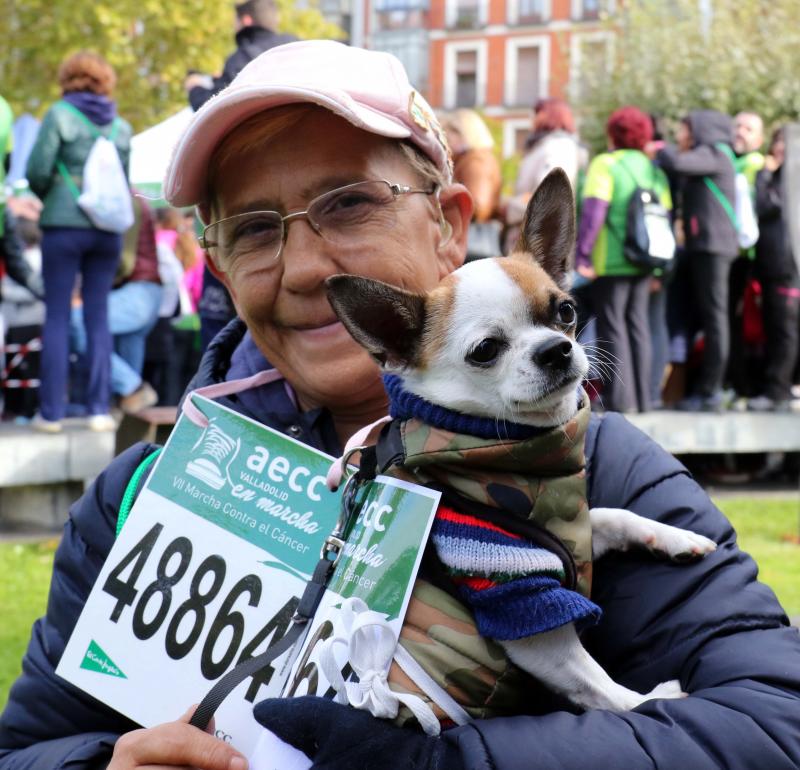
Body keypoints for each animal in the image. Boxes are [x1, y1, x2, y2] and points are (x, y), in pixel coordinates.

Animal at [322, 171, 716, 712]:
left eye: (566, 311)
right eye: (486, 350)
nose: (556, 348)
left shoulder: (570, 539)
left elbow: (612, 515)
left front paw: (673, 537)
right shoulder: (521, 599)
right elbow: (596, 684)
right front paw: (652, 700)